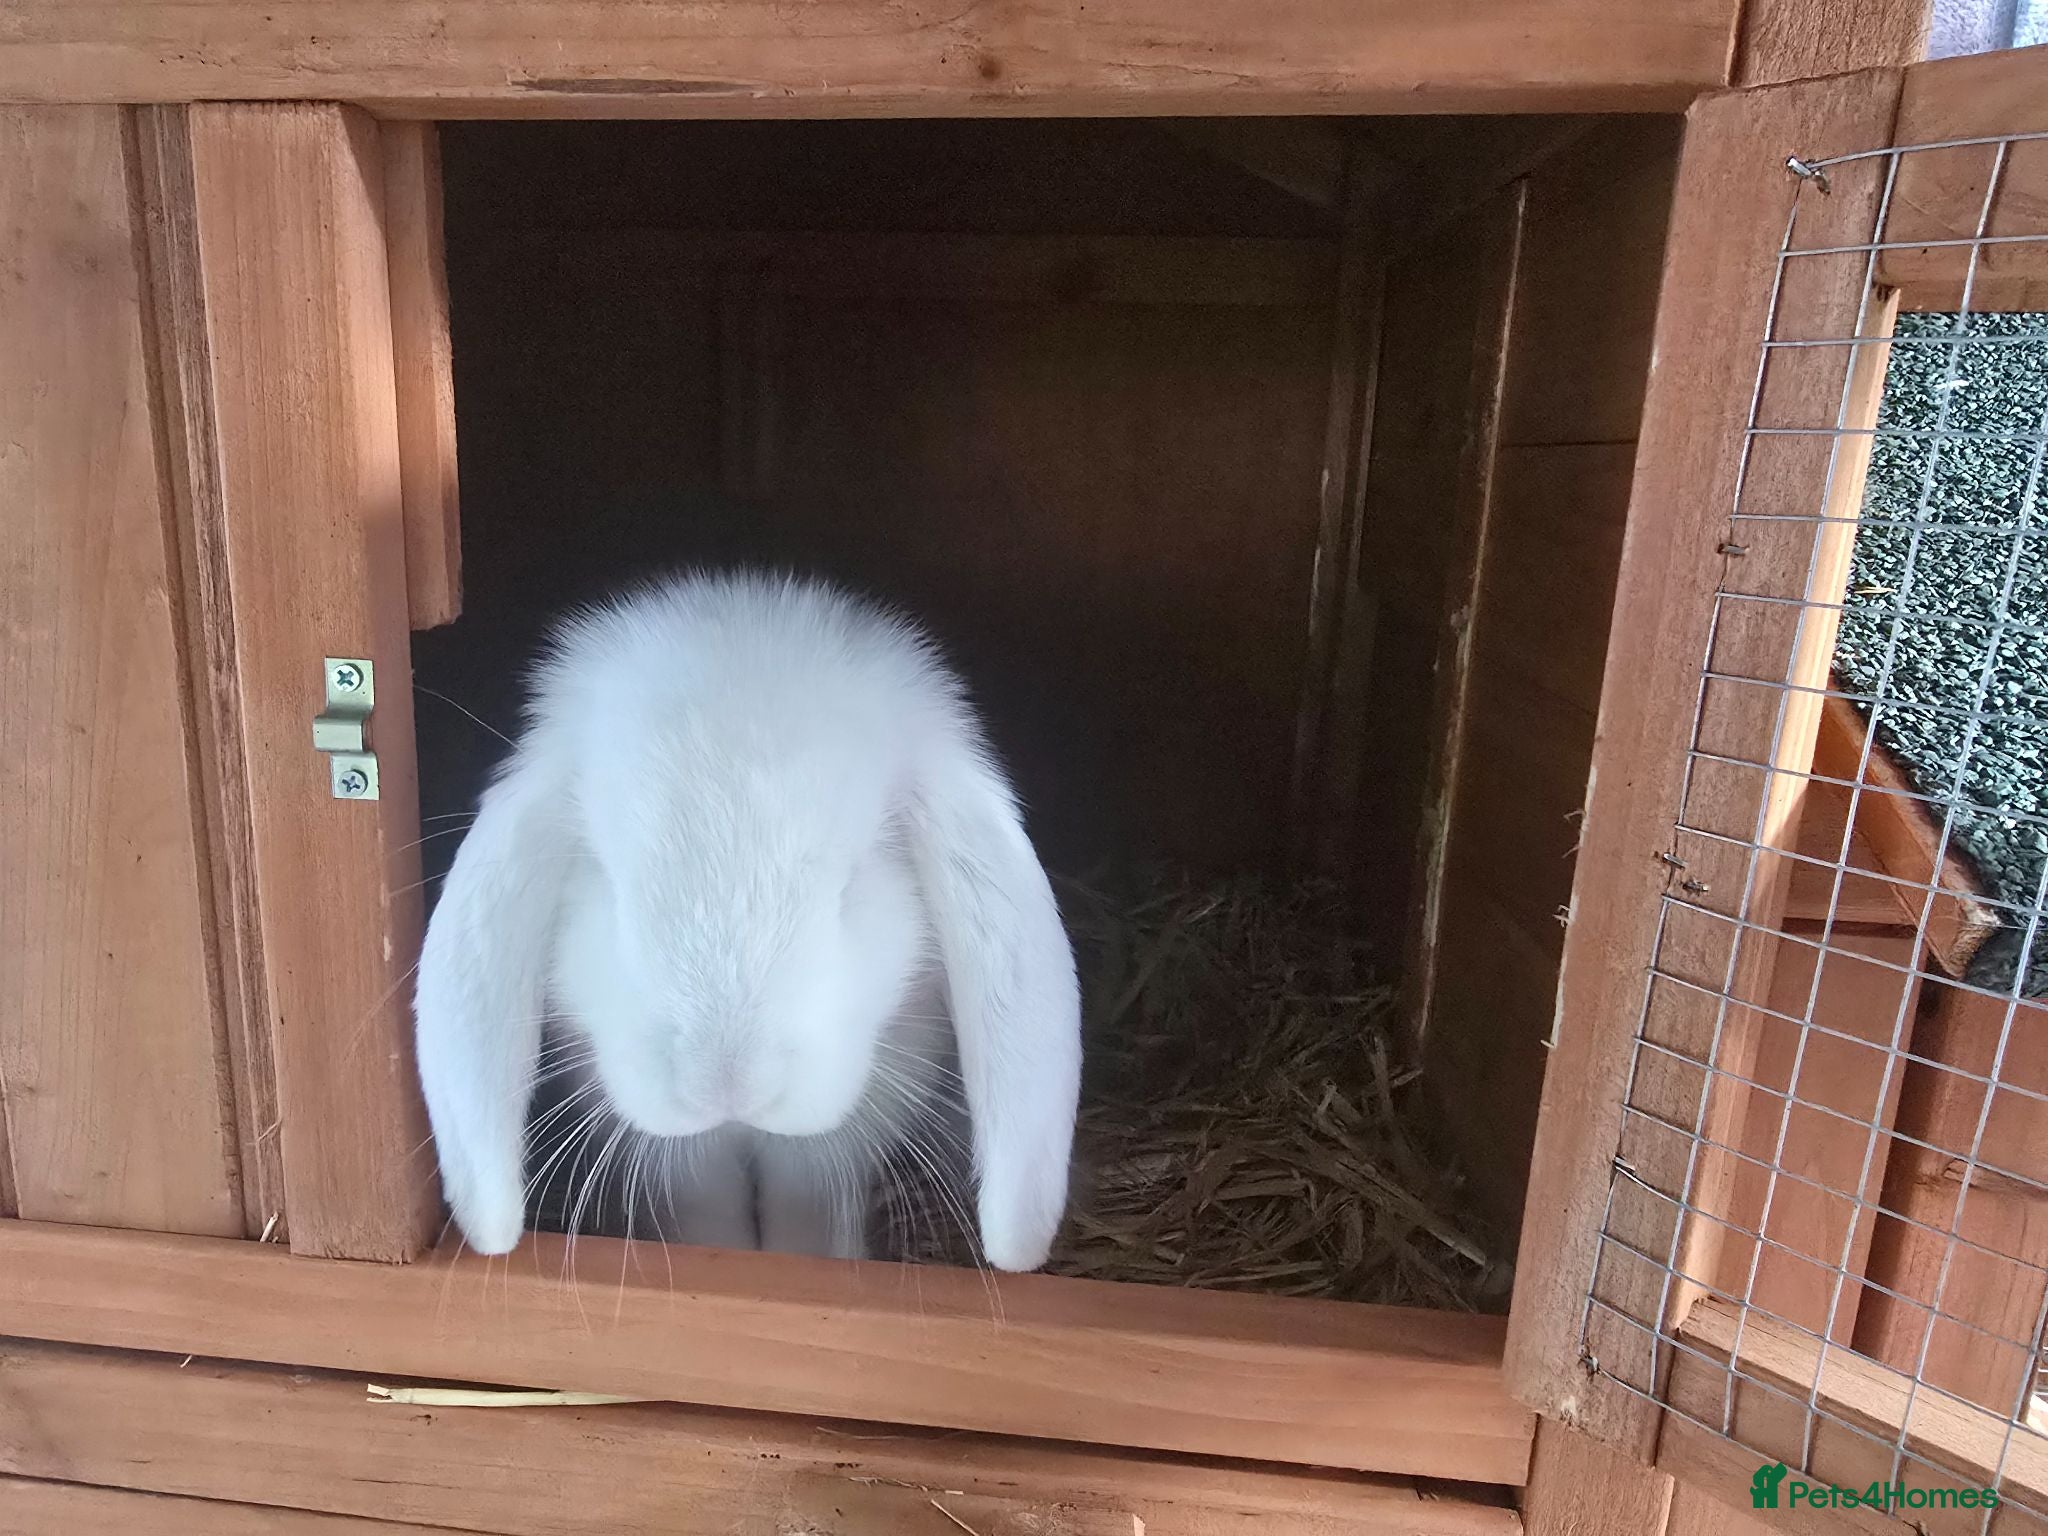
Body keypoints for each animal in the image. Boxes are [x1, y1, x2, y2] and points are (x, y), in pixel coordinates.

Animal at [413, 570, 1081, 1272]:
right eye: (609, 879)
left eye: (850, 884)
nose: (727, 1082)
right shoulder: (687, 1162)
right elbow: (711, 1222)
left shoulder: (833, 1147)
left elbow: (809, 1215)